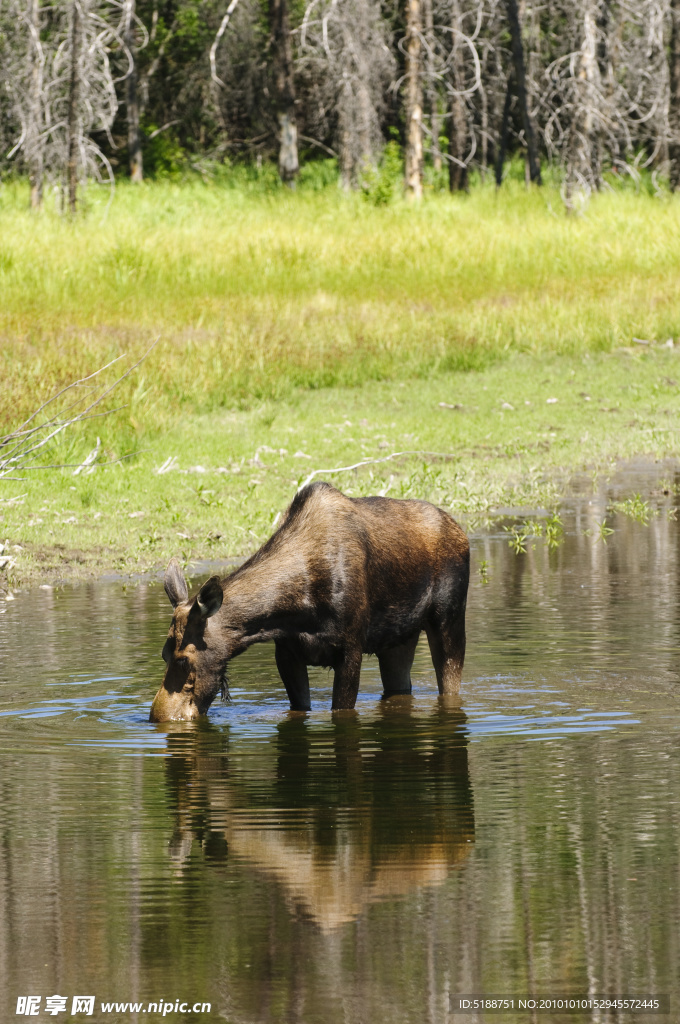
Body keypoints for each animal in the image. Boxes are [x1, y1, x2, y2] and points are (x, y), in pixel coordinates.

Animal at [148, 479, 466, 720]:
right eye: (163, 654)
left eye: (184, 659)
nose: (159, 716)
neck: (295, 610)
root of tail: (459, 529)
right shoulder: (287, 653)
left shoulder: (350, 650)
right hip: (398, 640)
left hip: (449, 618)